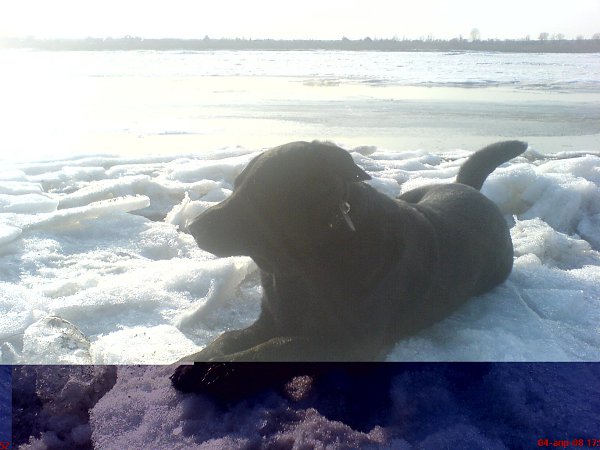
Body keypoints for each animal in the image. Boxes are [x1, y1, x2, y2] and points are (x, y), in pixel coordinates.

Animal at [174, 140, 526, 363]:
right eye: (236, 186)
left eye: (259, 193)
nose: (193, 227)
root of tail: (471, 189)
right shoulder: (273, 318)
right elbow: (227, 338)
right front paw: (193, 357)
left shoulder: (350, 342)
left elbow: (270, 348)